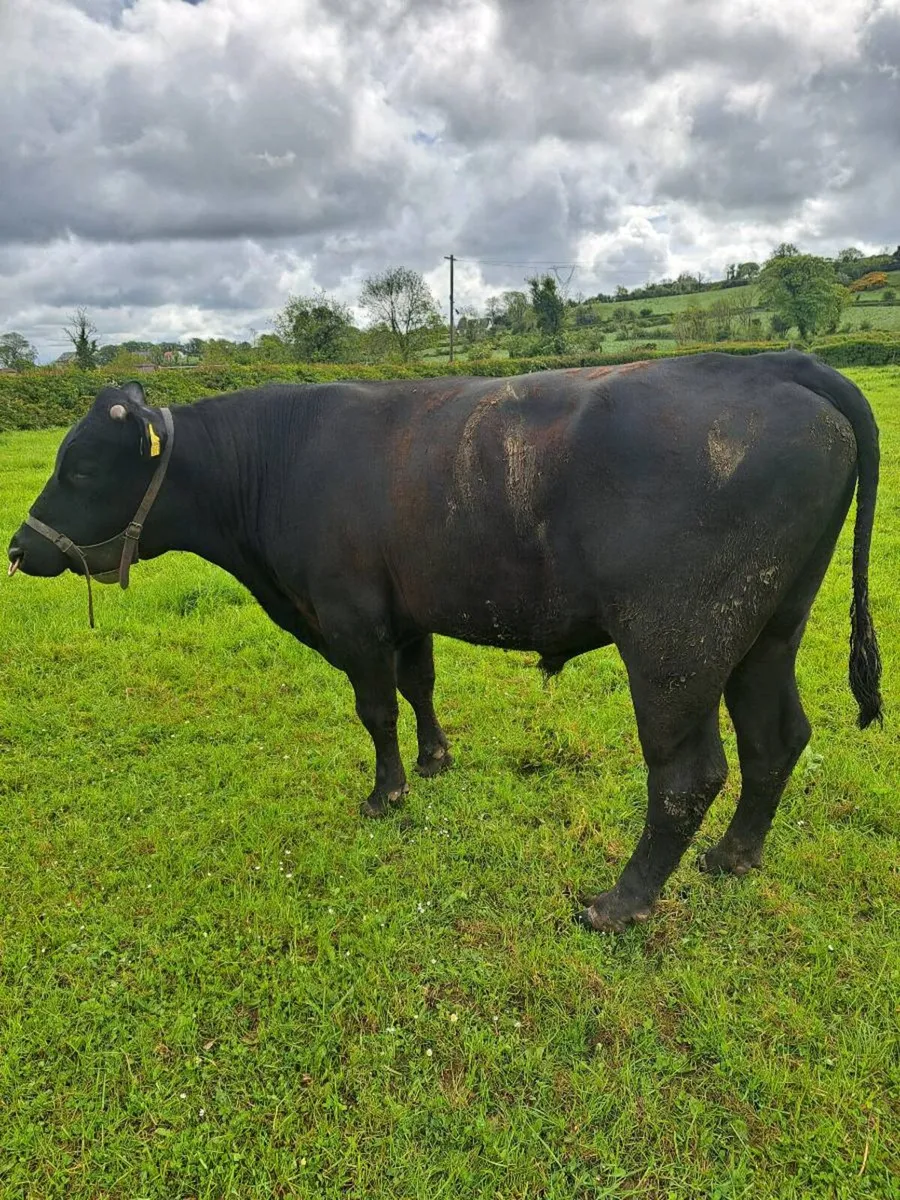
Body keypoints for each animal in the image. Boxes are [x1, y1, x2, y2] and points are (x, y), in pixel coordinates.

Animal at [6, 351, 883, 932]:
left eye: (81, 469)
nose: (19, 548)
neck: (273, 464)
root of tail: (764, 365)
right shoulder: (407, 612)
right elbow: (418, 685)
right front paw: (435, 760)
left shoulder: (351, 613)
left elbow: (375, 710)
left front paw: (386, 792)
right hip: (769, 627)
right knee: (777, 737)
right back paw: (734, 856)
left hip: (676, 645)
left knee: (687, 775)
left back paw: (620, 902)